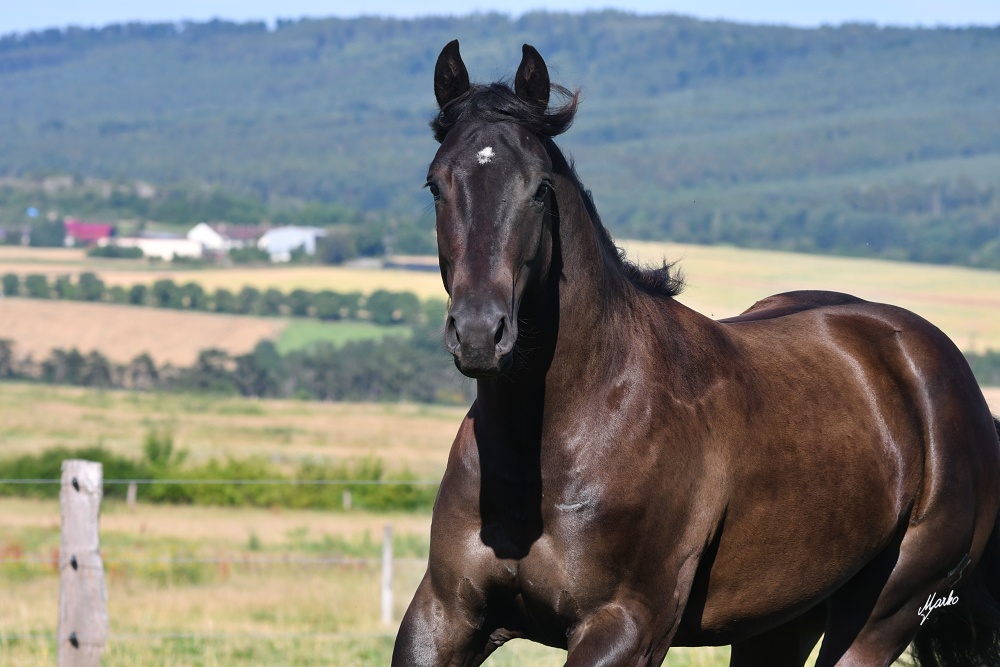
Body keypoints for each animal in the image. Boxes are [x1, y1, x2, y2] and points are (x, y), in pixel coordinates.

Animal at [390, 41, 1000, 667]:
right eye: (436, 184)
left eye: (539, 189)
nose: (479, 333)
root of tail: (944, 375)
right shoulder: (445, 614)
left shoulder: (625, 625)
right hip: (777, 621)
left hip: (882, 615)